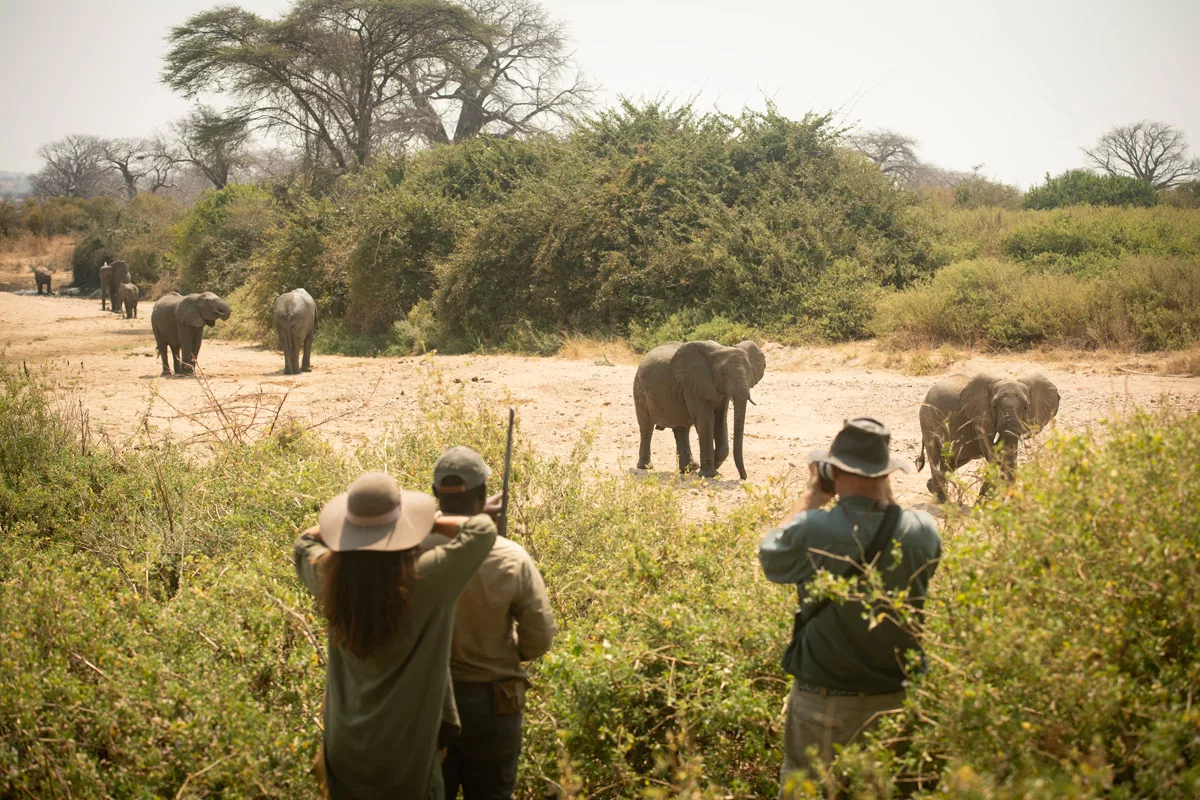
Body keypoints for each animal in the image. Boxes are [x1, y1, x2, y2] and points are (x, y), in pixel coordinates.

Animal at [633, 340, 763, 479]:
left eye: (749, 373)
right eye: (723, 374)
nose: (743, 477)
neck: (720, 349)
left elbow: (720, 421)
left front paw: (714, 467)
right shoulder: (693, 385)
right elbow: (705, 421)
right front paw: (709, 474)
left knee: (681, 429)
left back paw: (689, 468)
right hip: (639, 388)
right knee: (647, 428)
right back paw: (646, 467)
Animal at [916, 371, 1060, 501]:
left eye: (1026, 407)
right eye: (994, 406)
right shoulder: (980, 416)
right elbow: (994, 457)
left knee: (954, 460)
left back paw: (932, 489)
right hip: (927, 419)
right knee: (936, 456)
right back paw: (944, 502)